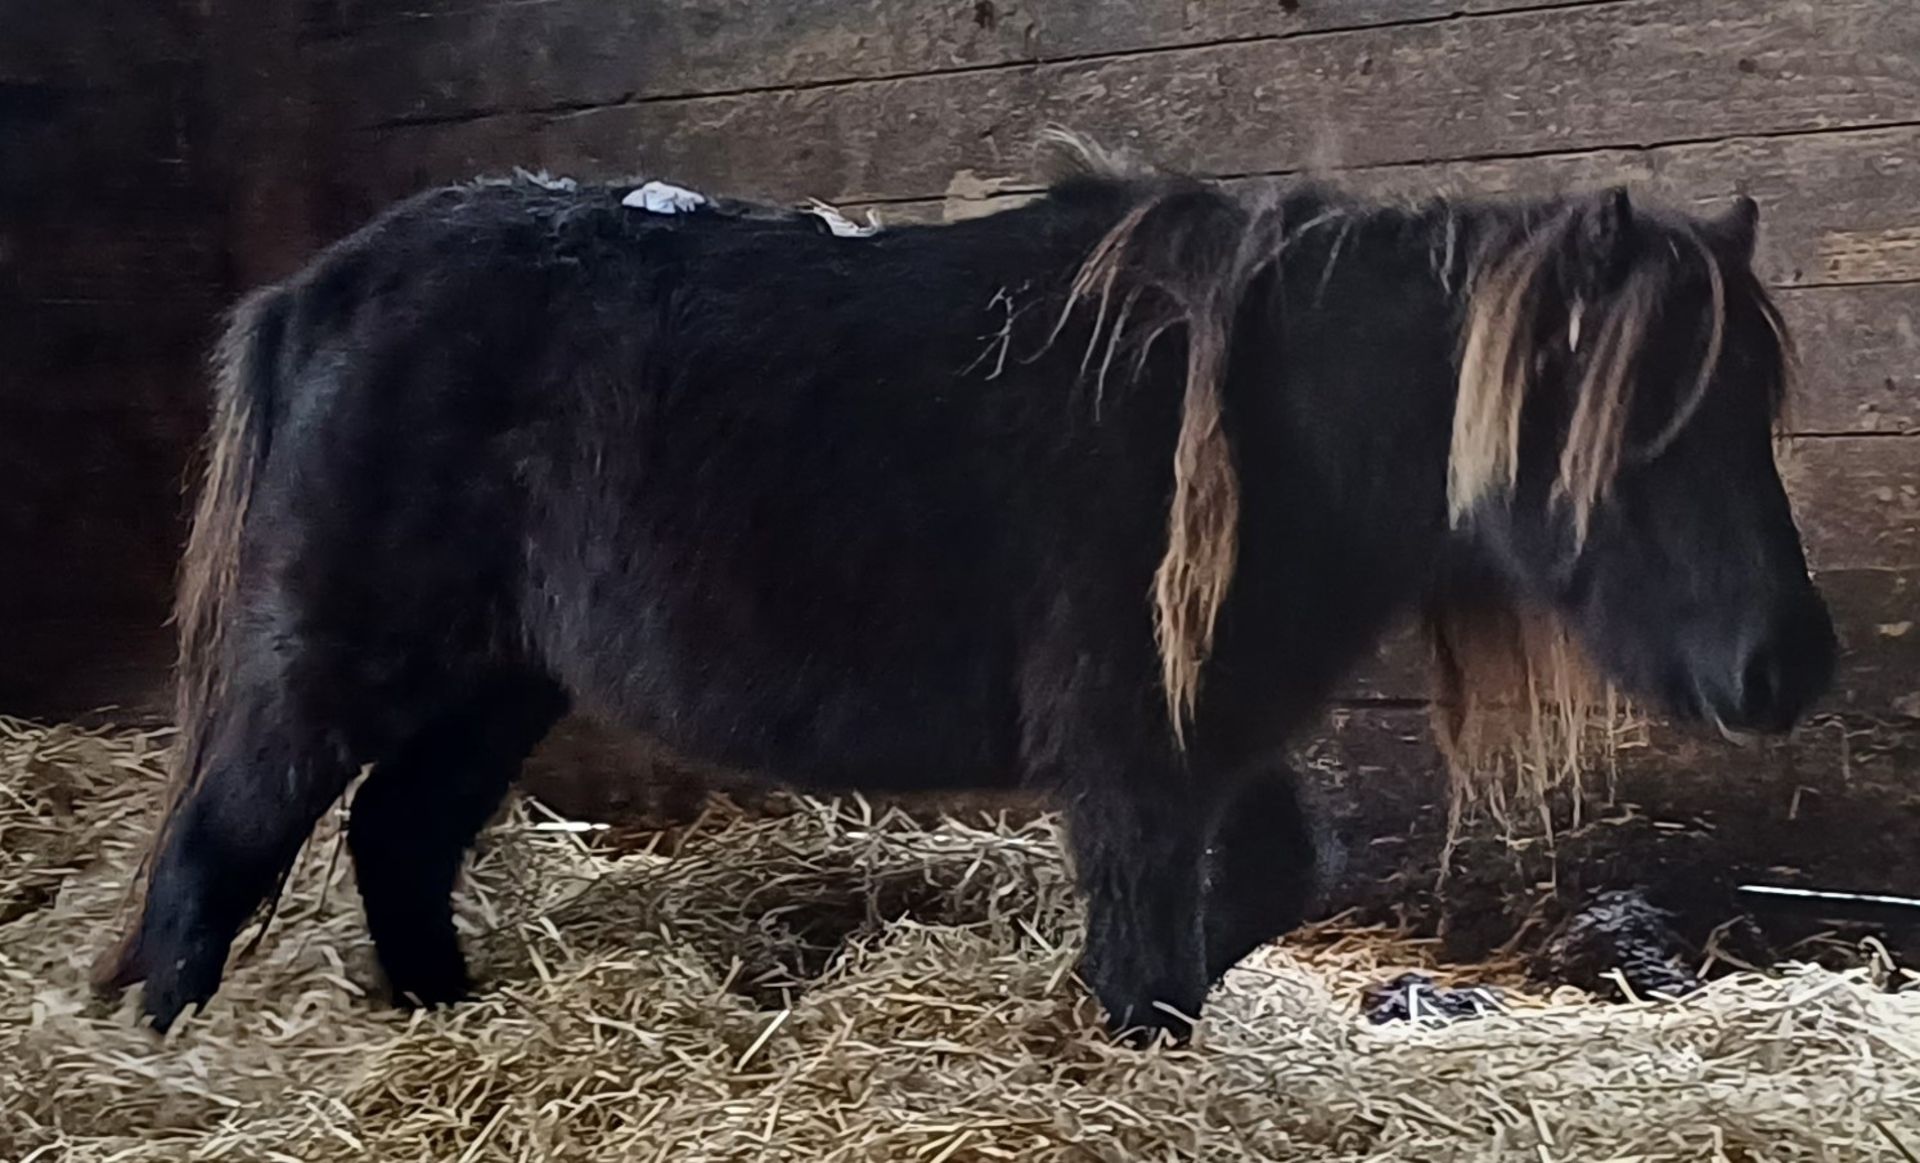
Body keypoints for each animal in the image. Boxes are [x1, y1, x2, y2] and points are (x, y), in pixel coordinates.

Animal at [97, 141, 1835, 1044]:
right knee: (223, 845)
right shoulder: (1133, 758)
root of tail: (317, 287)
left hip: (497, 676)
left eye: (1755, 402)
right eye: (1646, 422)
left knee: (399, 835)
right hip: (338, 655)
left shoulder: (1216, 735)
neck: (1251, 422)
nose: (1790, 667)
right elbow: (1151, 949)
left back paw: (442, 1021)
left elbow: (1267, 888)